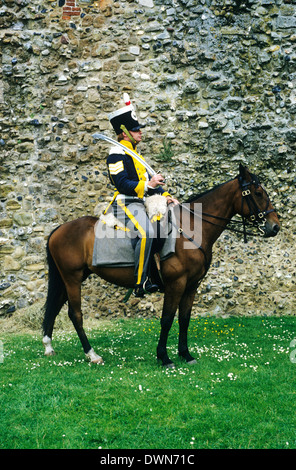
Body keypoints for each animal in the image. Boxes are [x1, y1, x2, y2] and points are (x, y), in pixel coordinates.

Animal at [41, 165, 280, 368]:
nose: (275, 226)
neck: (191, 229)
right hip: (72, 278)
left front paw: (185, 354)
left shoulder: (191, 286)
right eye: (258, 193)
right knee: (75, 314)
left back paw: (49, 347)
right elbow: (166, 319)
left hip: (70, 278)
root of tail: (59, 229)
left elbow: (184, 319)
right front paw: (164, 357)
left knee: (55, 307)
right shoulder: (176, 284)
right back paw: (92, 354)